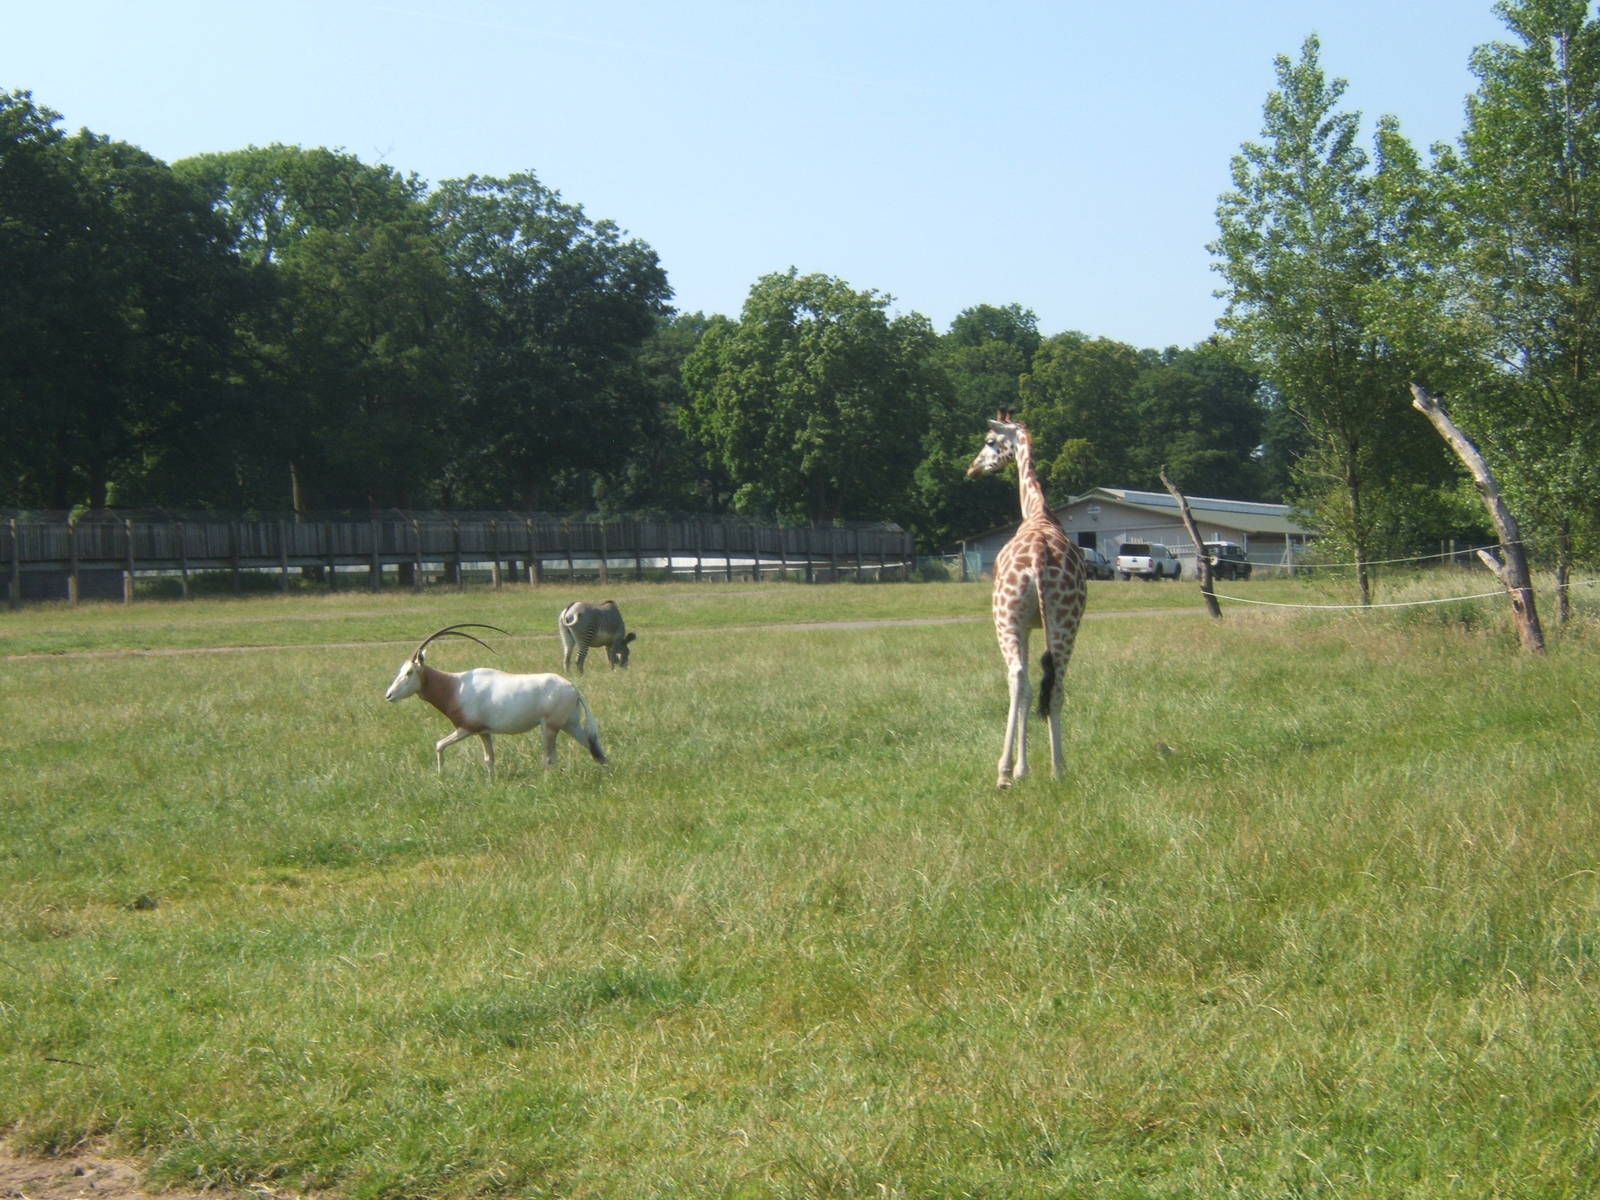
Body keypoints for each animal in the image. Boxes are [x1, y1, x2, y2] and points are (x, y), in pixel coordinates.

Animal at [966, 412, 1088, 788]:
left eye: (990, 441)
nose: (972, 469)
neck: (1038, 511)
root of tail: (1038, 555)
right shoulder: (1037, 625)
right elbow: (1041, 688)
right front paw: (1032, 766)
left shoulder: (1022, 624)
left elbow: (1025, 686)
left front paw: (1020, 769)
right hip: (1066, 621)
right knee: (1057, 684)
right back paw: (1059, 769)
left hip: (1005, 617)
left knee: (1017, 678)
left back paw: (1004, 772)